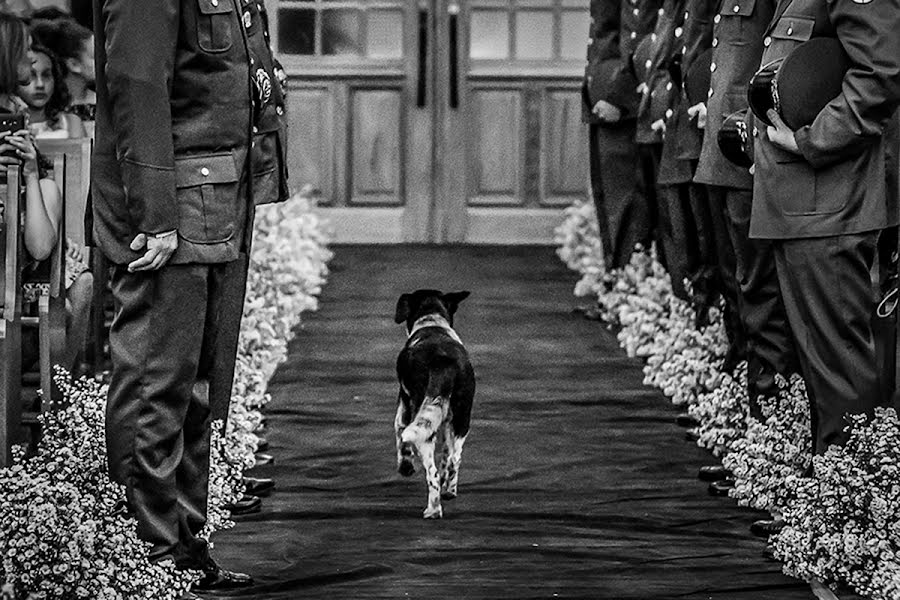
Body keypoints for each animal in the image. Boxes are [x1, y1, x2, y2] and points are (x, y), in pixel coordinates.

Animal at [396, 288, 478, 516]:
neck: (432, 321)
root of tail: (443, 362)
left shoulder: (403, 409)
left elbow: (401, 440)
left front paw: (405, 468)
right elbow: (446, 456)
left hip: (423, 425)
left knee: (431, 473)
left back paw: (433, 510)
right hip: (461, 419)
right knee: (453, 460)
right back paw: (448, 492)